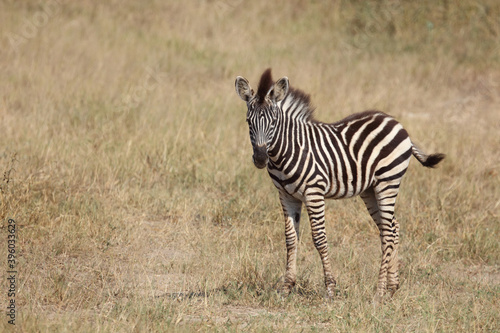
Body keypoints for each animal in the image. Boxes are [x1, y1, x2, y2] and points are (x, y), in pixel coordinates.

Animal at [234, 68, 446, 300]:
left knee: (389, 232)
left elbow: (319, 238)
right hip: (370, 190)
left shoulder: (313, 192)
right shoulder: (286, 195)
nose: (260, 159)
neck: (287, 151)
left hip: (388, 182)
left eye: (273, 123)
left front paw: (330, 288)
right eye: (248, 122)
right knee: (391, 227)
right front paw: (286, 286)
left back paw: (379, 290)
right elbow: (290, 238)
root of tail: (395, 121)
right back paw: (392, 286)